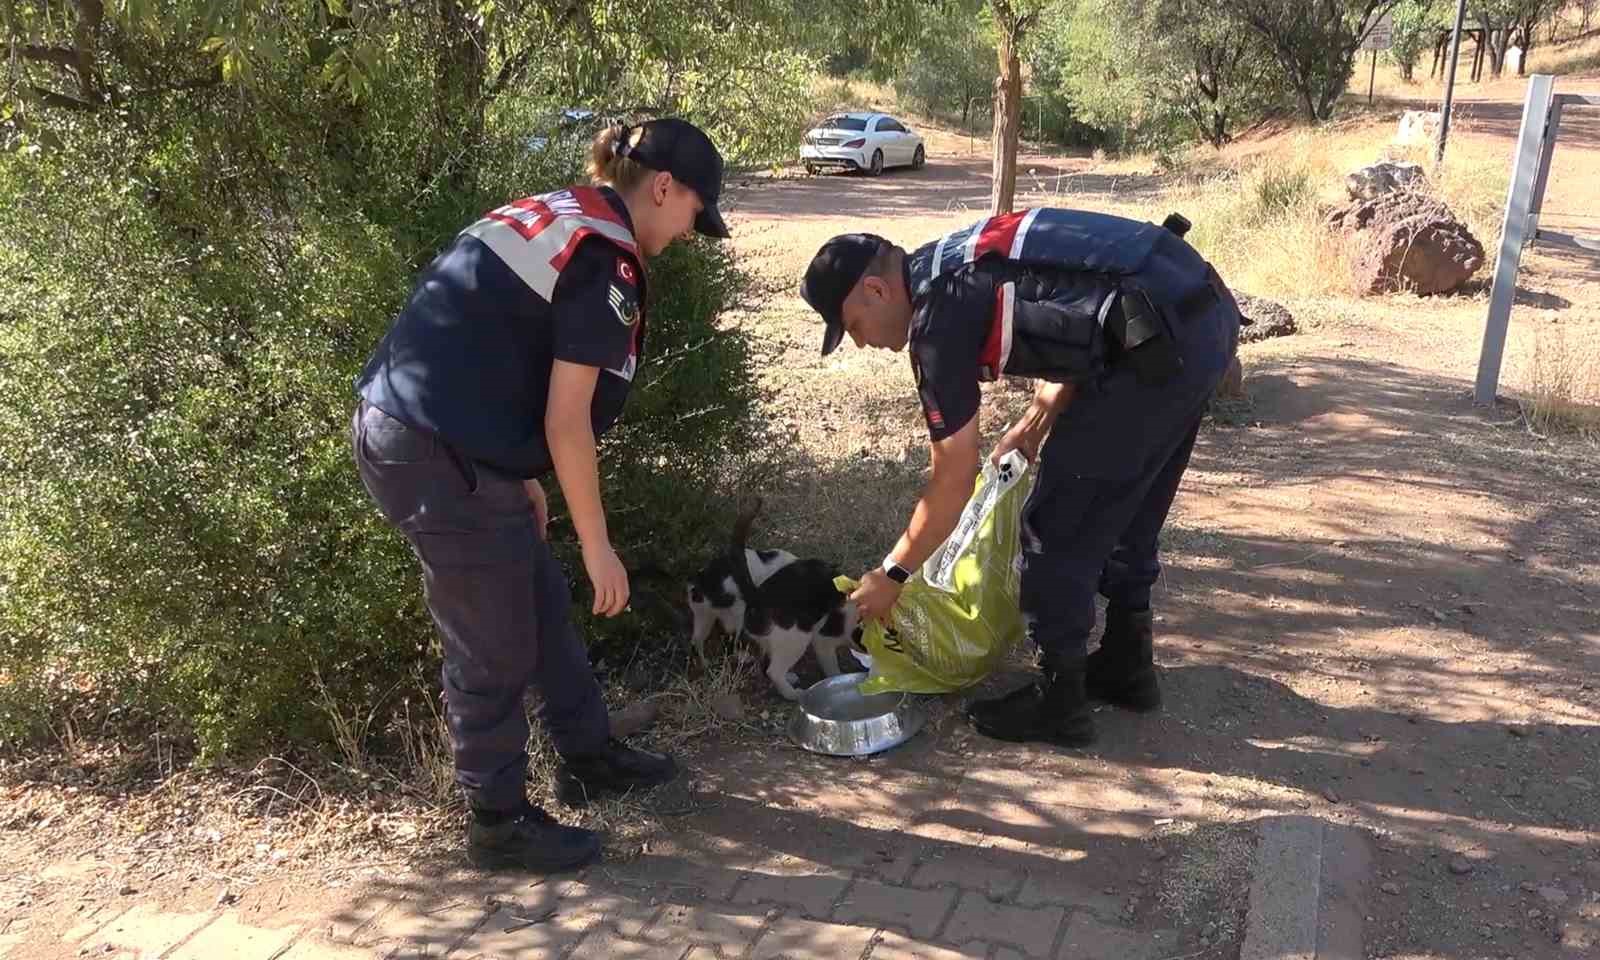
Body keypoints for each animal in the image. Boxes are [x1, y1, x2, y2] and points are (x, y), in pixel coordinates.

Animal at [684, 502, 864, 697]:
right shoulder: (823, 639)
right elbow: (832, 668)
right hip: (794, 636)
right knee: (772, 669)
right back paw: (794, 693)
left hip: (705, 618)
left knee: (698, 642)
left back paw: (706, 665)